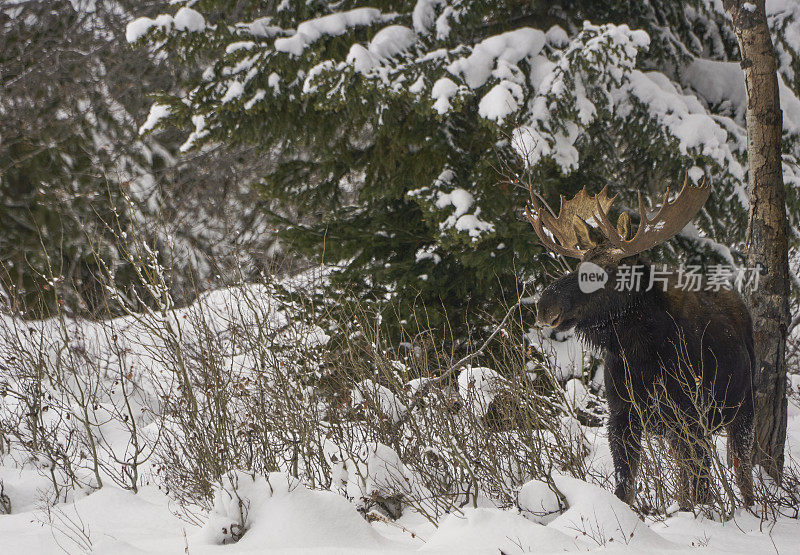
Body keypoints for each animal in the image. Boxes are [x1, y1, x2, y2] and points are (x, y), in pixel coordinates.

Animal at [528, 180, 752, 510]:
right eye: (579, 263)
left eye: (604, 272)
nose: (545, 306)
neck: (638, 352)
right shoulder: (622, 415)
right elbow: (625, 485)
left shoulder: (691, 415)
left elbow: (703, 484)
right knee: (687, 470)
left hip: (743, 407)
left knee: (741, 468)